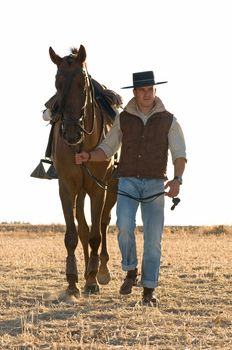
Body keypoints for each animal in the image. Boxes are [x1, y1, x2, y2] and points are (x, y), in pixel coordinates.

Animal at [48, 43, 118, 296]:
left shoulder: (99, 187)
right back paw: (88, 269)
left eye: (82, 83)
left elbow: (97, 234)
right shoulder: (67, 187)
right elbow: (73, 235)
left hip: (111, 188)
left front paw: (92, 280)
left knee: (104, 222)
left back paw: (101, 271)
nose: (70, 131)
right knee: (83, 228)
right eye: (57, 82)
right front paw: (72, 281)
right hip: (81, 191)